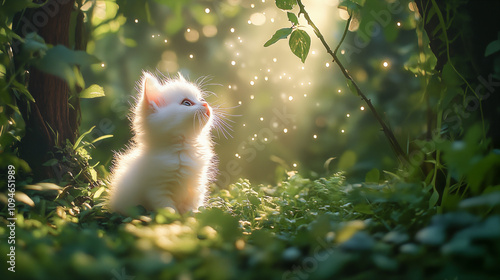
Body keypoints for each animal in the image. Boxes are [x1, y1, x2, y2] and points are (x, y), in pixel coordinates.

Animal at [110, 72, 222, 214]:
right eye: (187, 103)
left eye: (200, 99)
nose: (206, 104)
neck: (183, 150)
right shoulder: (157, 190)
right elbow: (169, 210)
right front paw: (175, 219)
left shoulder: (196, 186)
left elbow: (192, 208)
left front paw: (194, 216)